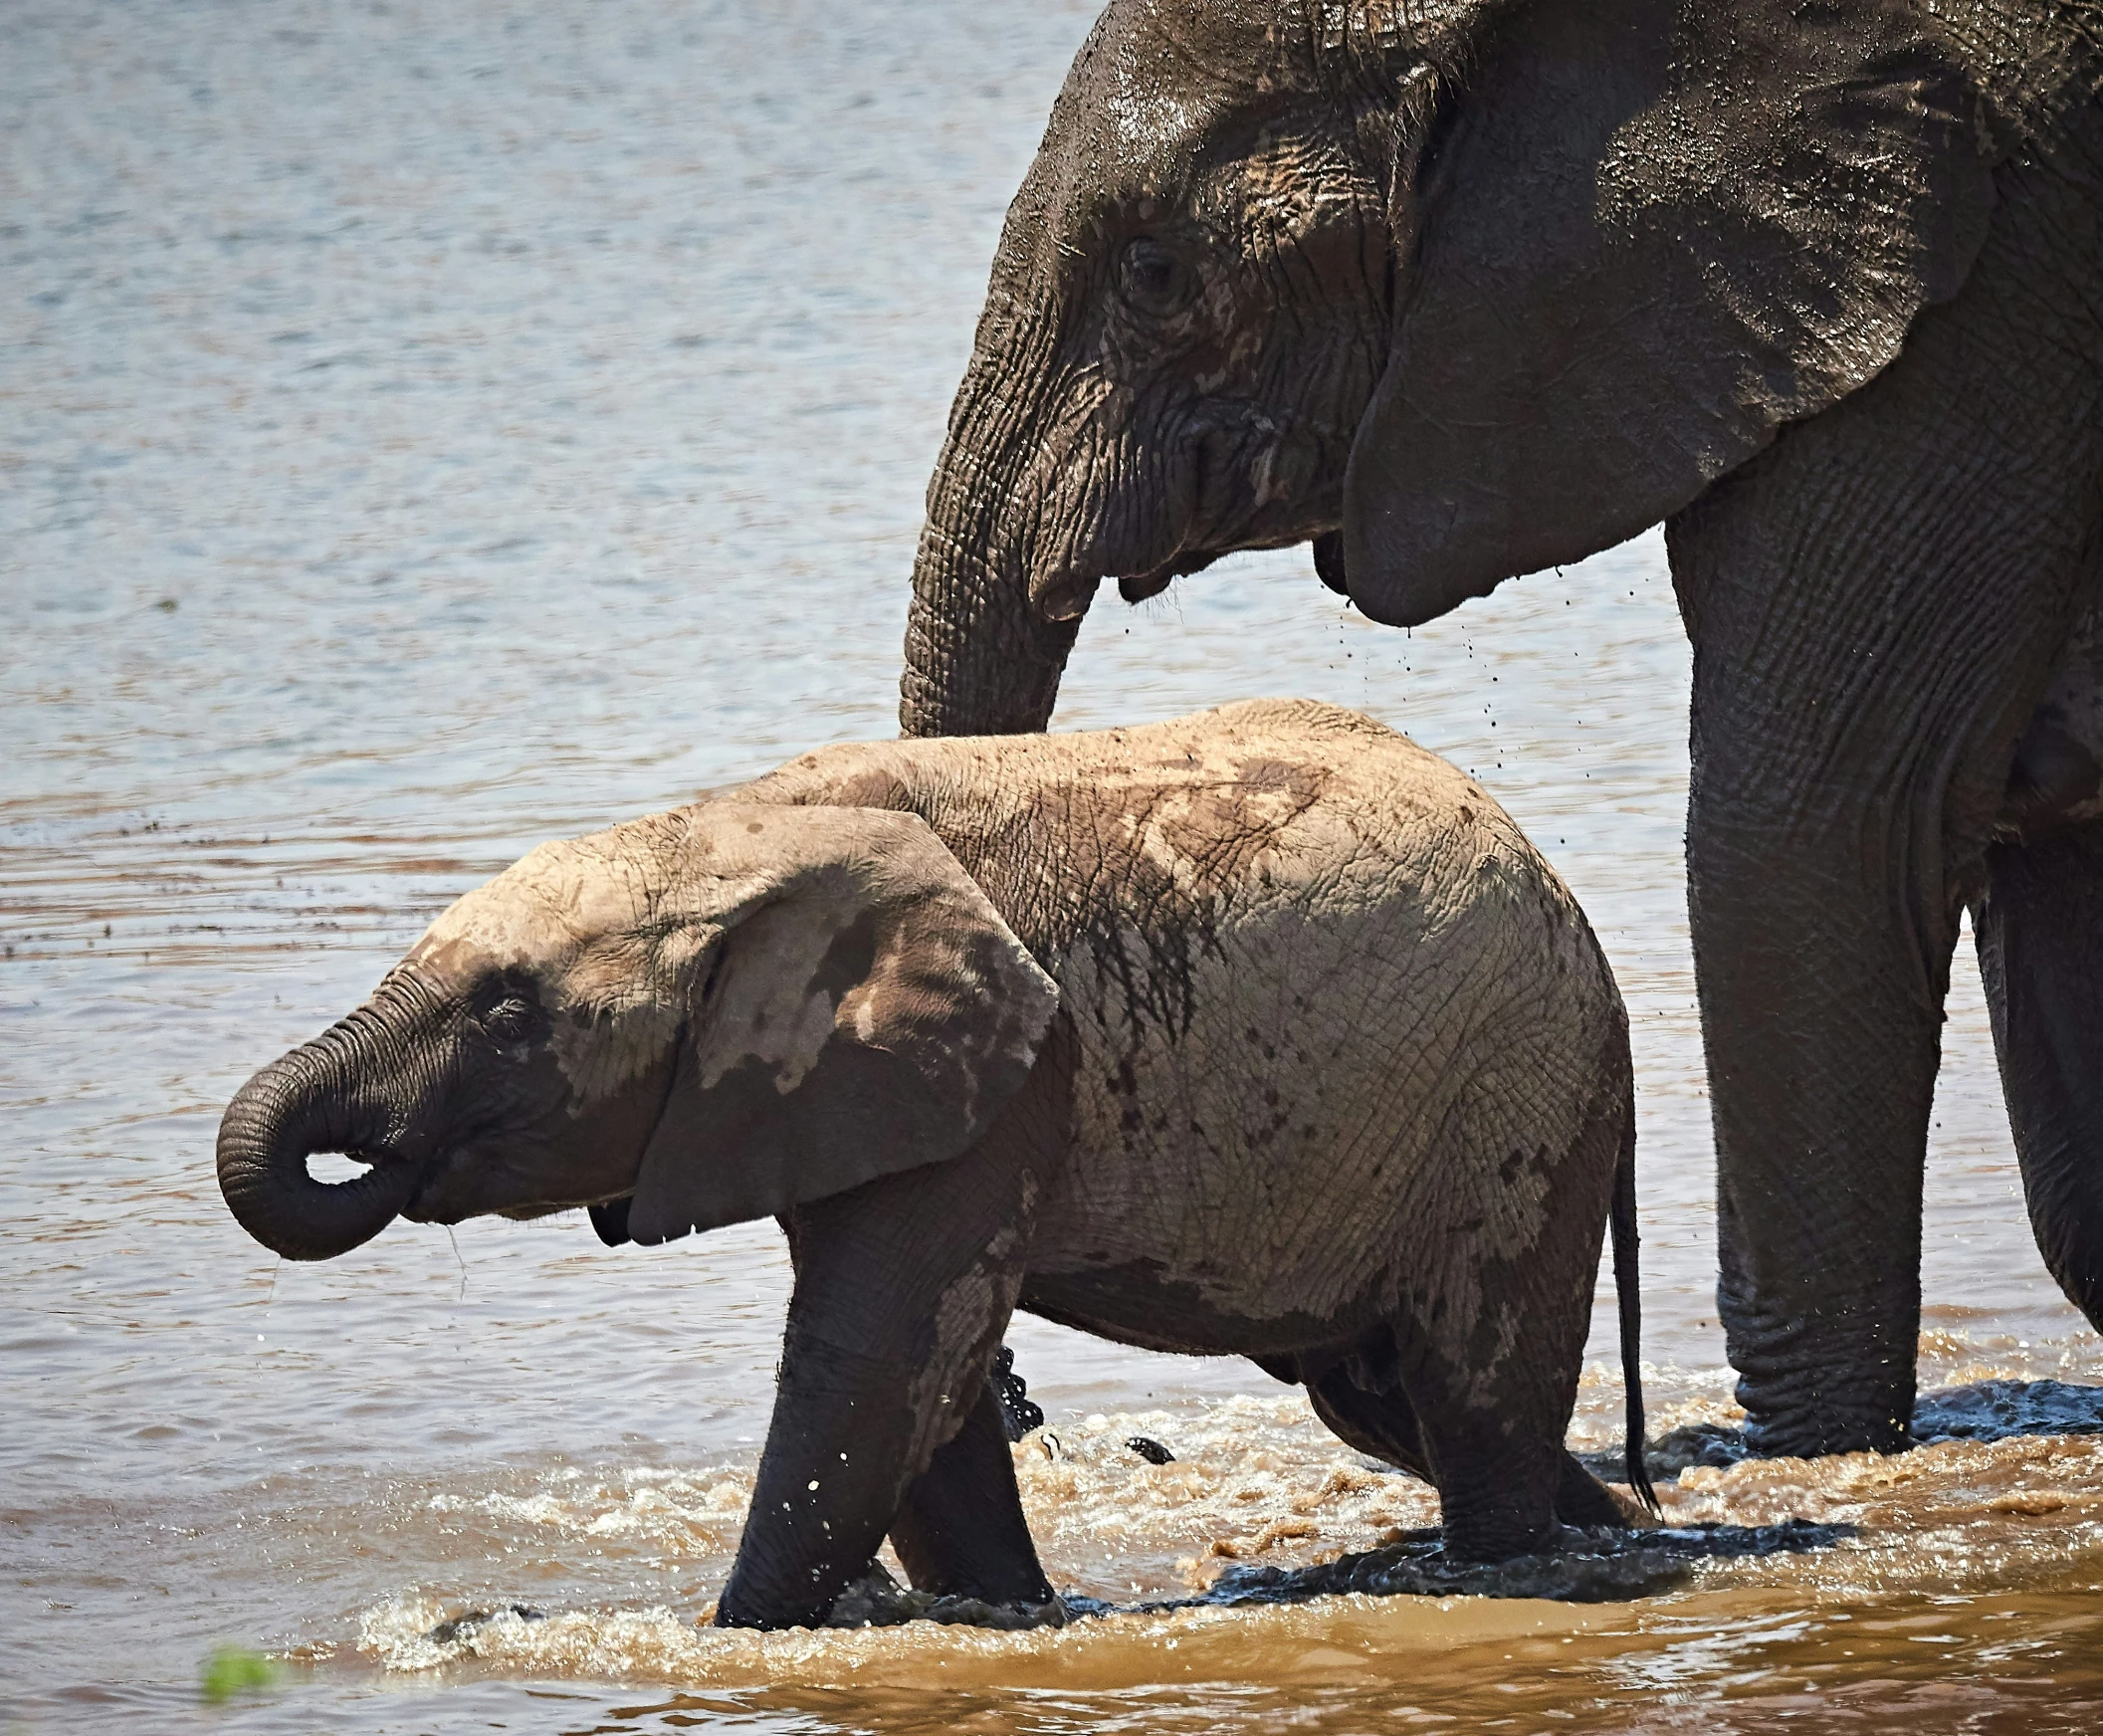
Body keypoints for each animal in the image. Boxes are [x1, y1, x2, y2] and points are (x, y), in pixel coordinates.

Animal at [217, 694, 1657, 1624]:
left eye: (509, 1016)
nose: (380, 1160)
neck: (724, 830)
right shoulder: (844, 1096)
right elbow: (929, 1382)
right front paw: (1003, 1610)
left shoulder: (1012, 1067)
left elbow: (877, 1356)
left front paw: (730, 1634)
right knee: (1377, 1394)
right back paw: (1623, 1532)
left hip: (1519, 1085)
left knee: (1468, 1383)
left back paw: (1511, 1570)